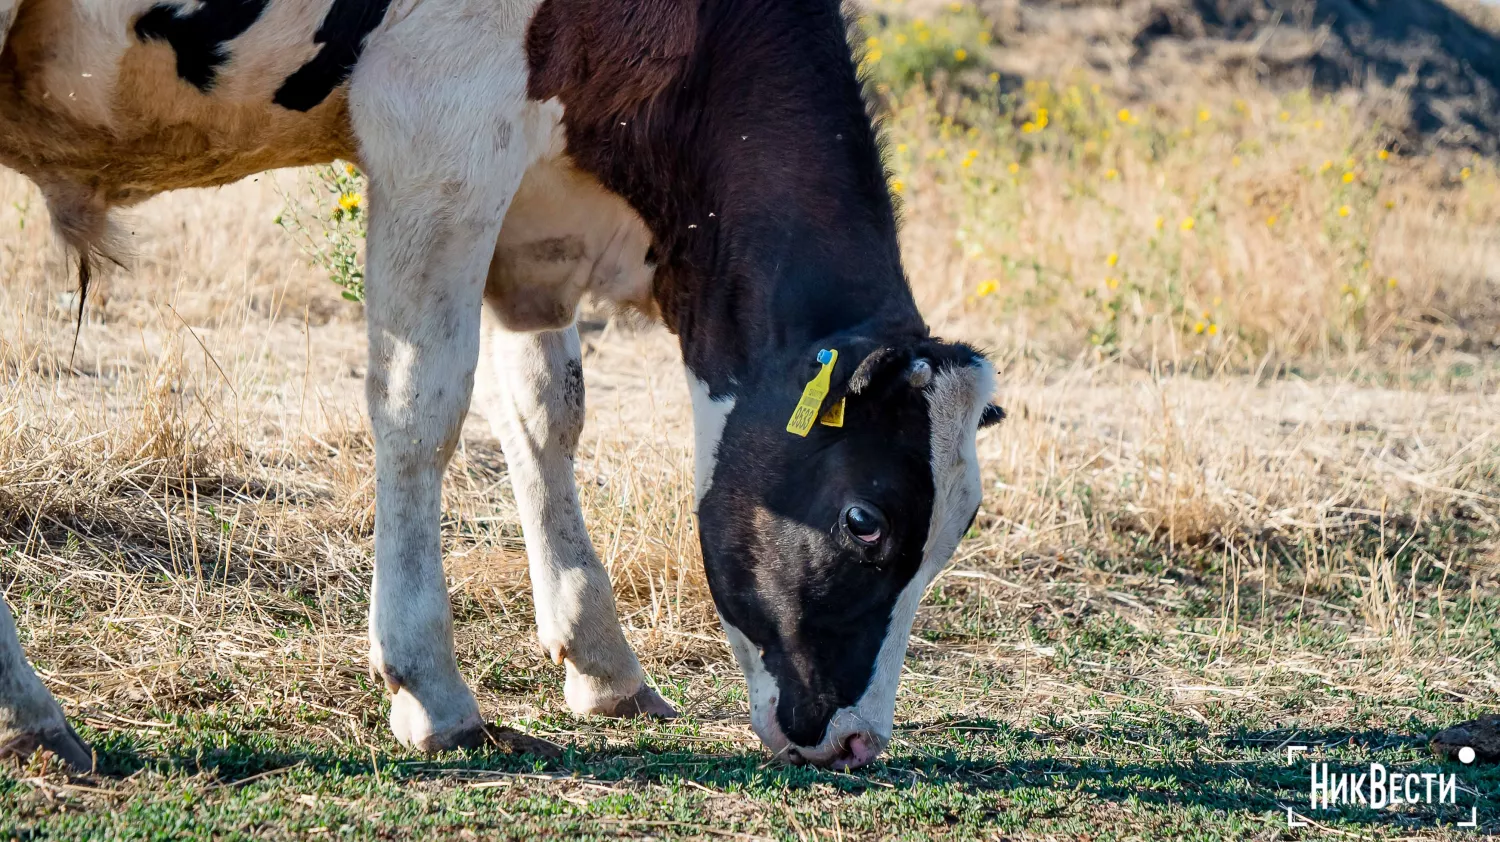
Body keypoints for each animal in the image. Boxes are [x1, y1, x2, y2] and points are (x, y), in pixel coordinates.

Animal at [2, 0, 1008, 774]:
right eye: (865, 521)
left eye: (959, 530)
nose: (857, 743)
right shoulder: (442, 125)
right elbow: (421, 406)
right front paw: (432, 690)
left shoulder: (532, 208)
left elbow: (545, 407)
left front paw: (602, 664)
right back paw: (33, 715)